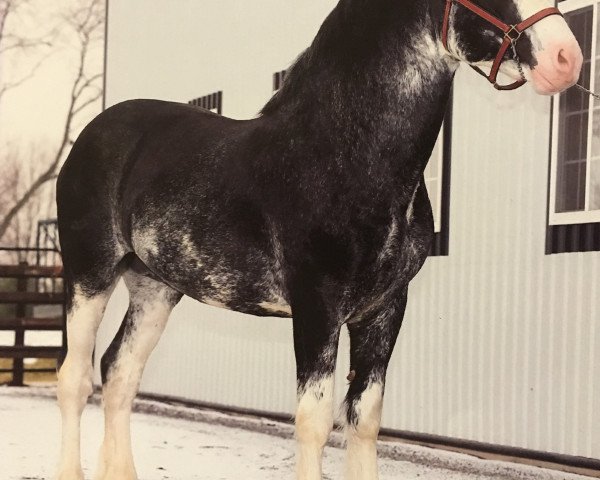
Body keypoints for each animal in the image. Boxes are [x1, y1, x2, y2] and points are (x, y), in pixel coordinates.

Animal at [55, 0, 580, 480]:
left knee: (120, 373)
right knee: (75, 378)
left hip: (155, 288)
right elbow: (314, 421)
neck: (346, 156)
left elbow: (363, 419)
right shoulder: (316, 307)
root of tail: (93, 134)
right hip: (90, 276)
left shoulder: (384, 310)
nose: (566, 57)